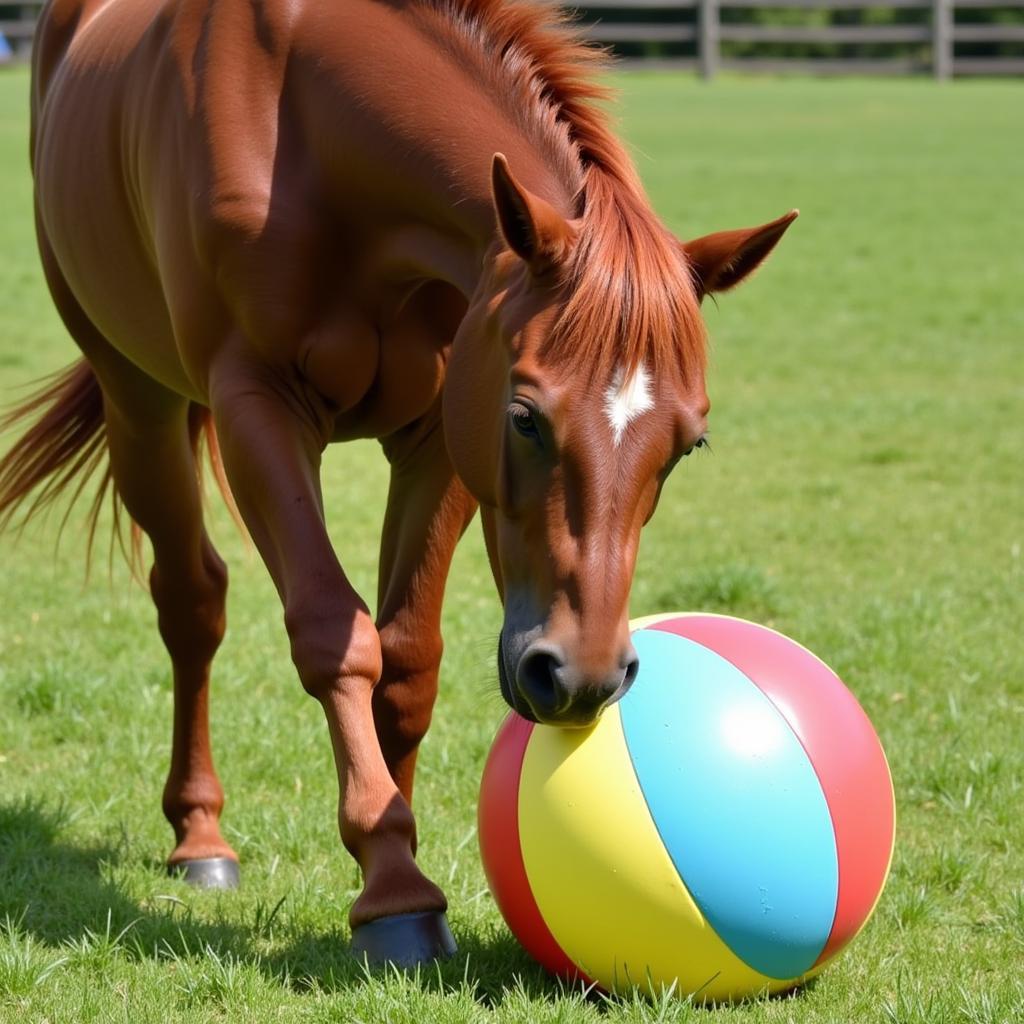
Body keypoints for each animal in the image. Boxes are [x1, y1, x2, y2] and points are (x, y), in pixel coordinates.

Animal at [2, 0, 798, 962]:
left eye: (689, 443)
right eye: (527, 417)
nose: (582, 678)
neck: (306, 131)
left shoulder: (439, 433)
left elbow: (408, 658)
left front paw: (396, 857)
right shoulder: (258, 409)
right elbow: (334, 636)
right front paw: (392, 890)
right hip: (138, 397)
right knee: (191, 599)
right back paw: (199, 836)